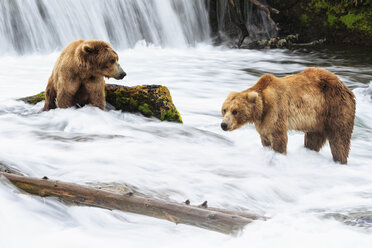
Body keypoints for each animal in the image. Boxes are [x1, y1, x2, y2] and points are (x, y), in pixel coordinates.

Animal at [222, 68, 356, 165]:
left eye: (234, 111)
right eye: (224, 110)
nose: (223, 125)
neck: (262, 106)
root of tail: (347, 88)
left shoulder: (276, 109)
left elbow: (278, 137)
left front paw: (277, 154)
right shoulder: (262, 120)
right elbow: (265, 137)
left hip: (336, 107)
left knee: (339, 139)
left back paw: (340, 160)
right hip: (317, 119)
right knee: (313, 139)